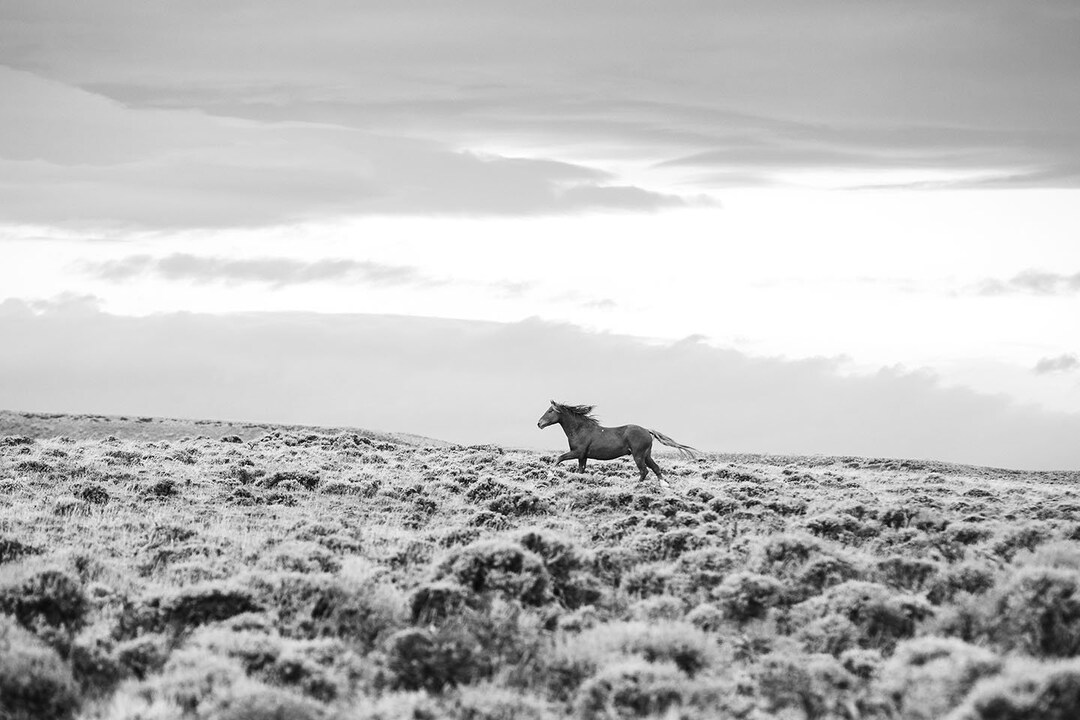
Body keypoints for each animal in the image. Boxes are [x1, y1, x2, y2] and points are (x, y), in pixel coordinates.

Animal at [537, 400, 698, 485]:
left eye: (550, 411)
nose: (539, 423)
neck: (580, 429)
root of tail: (647, 431)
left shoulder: (577, 452)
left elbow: (559, 458)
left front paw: (549, 474)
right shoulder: (583, 456)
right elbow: (580, 470)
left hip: (638, 455)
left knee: (644, 471)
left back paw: (637, 485)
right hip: (646, 455)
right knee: (656, 469)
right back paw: (663, 485)